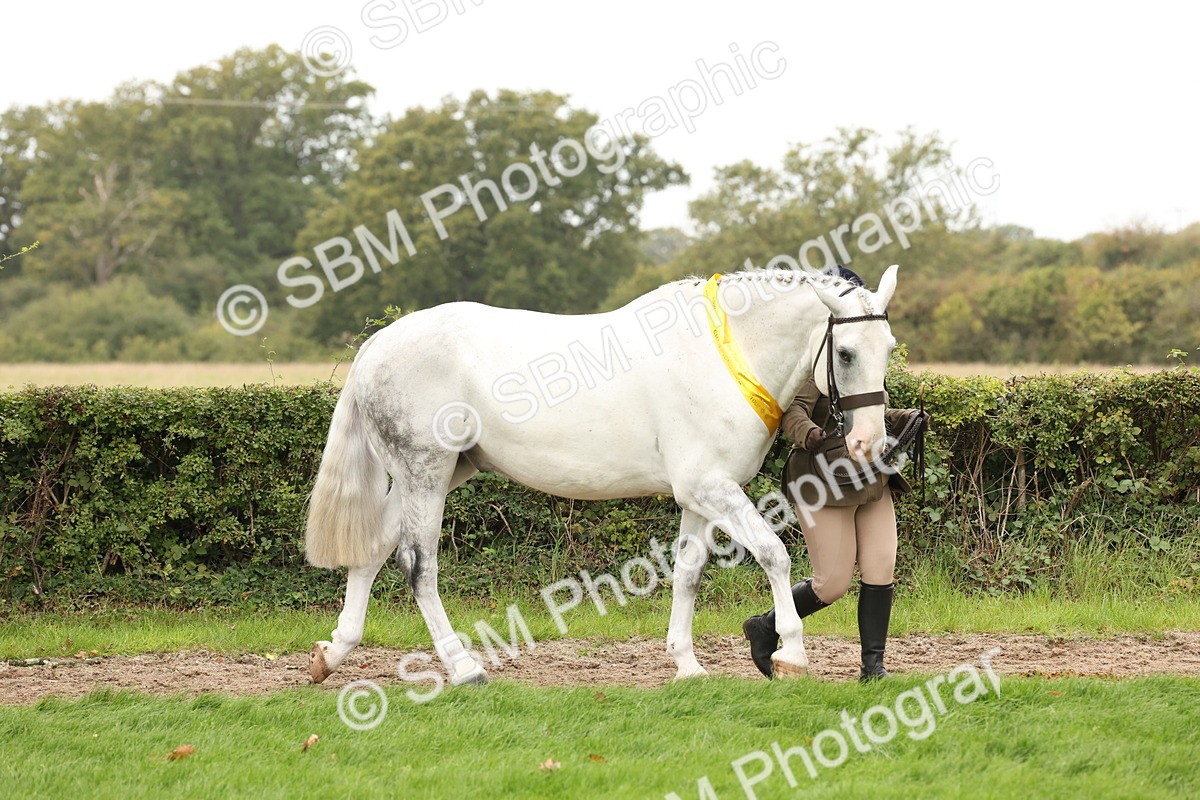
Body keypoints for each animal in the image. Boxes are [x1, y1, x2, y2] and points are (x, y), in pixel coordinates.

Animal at [305, 264, 899, 685]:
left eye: (888, 348)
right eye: (846, 353)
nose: (868, 443)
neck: (724, 357)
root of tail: (378, 345)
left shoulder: (700, 495)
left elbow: (688, 572)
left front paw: (687, 665)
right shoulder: (711, 487)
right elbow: (774, 553)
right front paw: (792, 653)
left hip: (437, 472)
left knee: (374, 548)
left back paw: (333, 652)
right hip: (424, 471)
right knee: (417, 565)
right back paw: (463, 668)